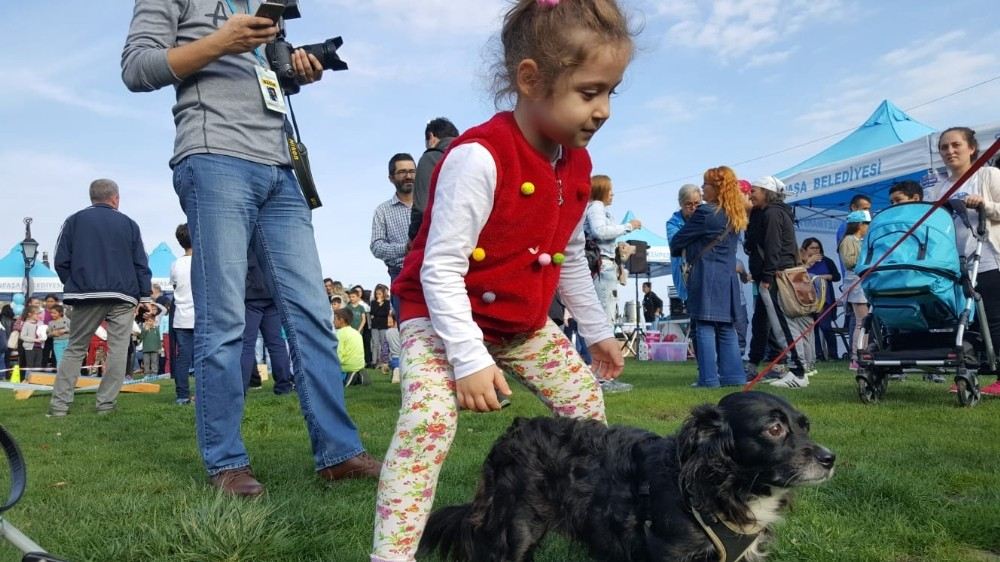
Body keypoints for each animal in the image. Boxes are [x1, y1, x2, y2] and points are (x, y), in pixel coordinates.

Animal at [420, 390, 836, 560]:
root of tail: (512, 430)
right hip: (513, 533)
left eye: (805, 426)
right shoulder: (671, 554)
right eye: (774, 429)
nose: (830, 458)